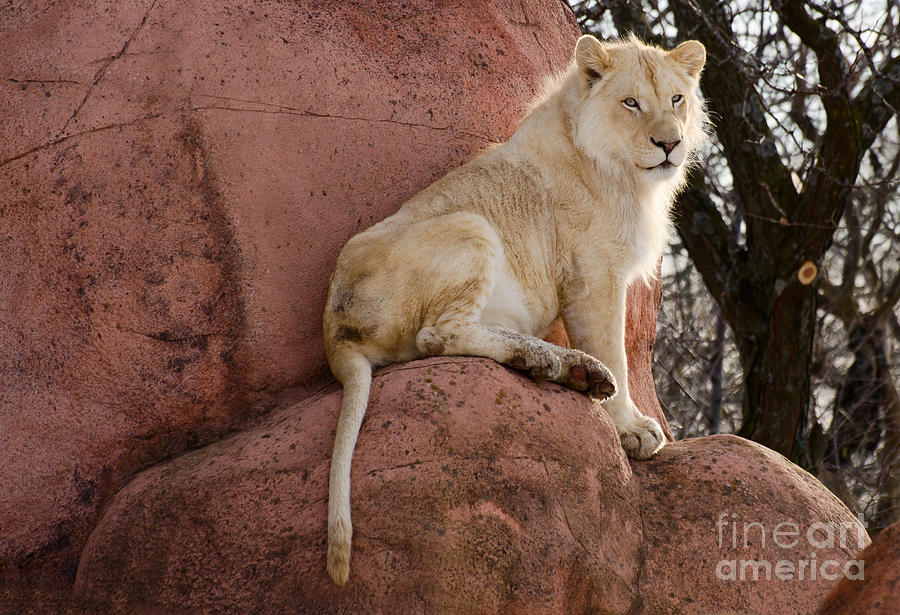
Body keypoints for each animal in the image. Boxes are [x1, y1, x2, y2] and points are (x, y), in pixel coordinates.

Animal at [320, 35, 708, 588]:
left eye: (677, 99)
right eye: (631, 103)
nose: (669, 144)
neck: (623, 175)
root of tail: (335, 334)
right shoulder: (594, 276)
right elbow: (613, 346)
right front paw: (631, 427)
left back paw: (569, 368)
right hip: (470, 225)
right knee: (436, 337)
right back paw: (551, 362)